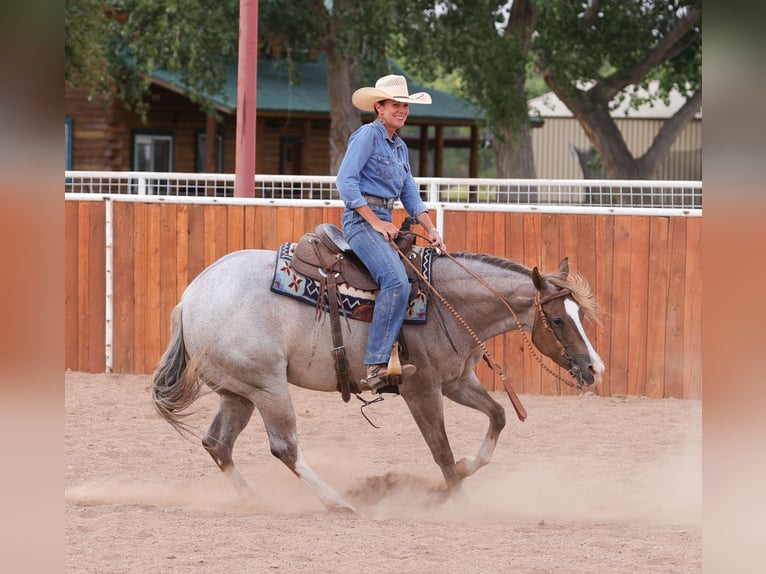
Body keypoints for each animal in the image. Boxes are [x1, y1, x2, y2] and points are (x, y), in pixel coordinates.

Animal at [152, 240, 605, 513]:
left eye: (580, 315)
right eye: (559, 321)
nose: (594, 368)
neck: (446, 303)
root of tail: (189, 298)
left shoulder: (457, 382)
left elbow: (498, 416)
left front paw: (464, 469)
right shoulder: (421, 389)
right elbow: (440, 449)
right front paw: (457, 498)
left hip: (238, 393)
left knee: (217, 443)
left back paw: (256, 500)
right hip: (267, 387)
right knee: (284, 447)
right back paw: (338, 503)